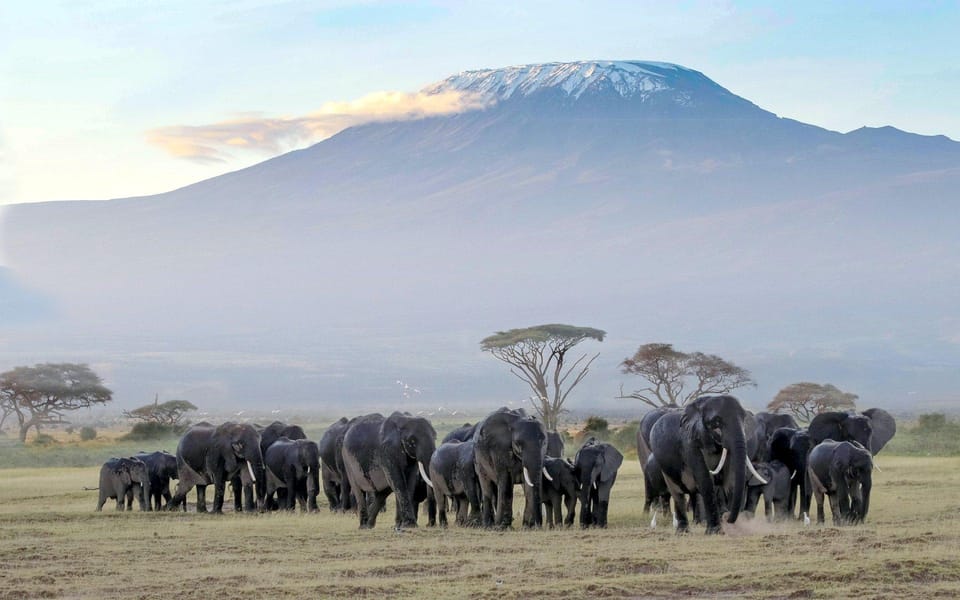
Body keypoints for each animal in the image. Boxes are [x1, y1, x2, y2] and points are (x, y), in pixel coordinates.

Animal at [648, 394, 768, 536]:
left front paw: (734, 529)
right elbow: (705, 480)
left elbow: (730, 480)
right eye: (716, 423)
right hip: (665, 468)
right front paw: (715, 532)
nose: (727, 518)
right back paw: (683, 532)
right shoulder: (690, 444)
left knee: (695, 493)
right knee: (678, 493)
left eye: (744, 419)